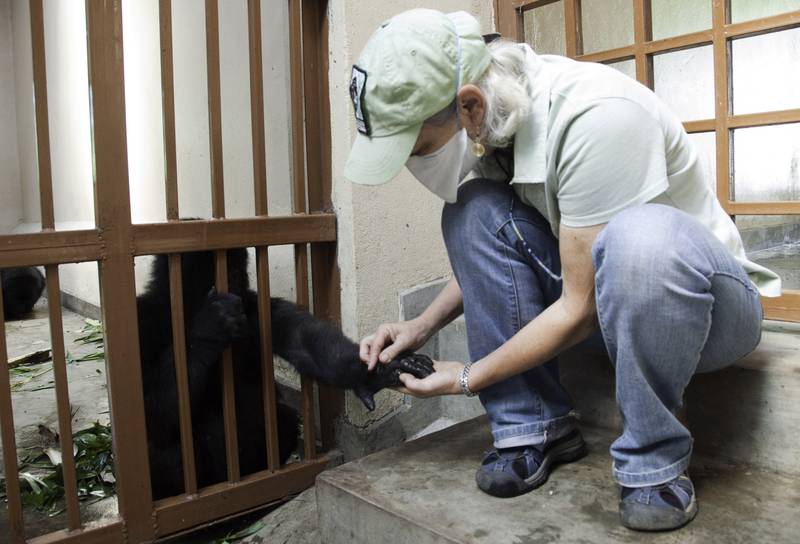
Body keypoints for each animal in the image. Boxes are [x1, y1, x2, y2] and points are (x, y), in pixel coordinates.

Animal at [139, 249, 438, 500]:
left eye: (234, 272)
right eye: (211, 275)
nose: (232, 288)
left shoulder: (260, 307)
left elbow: (307, 344)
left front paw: (378, 371)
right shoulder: (143, 321)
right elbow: (152, 415)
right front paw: (209, 326)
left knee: (284, 419)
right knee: (162, 455)